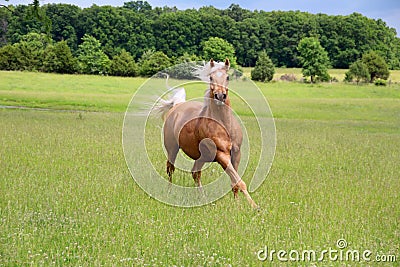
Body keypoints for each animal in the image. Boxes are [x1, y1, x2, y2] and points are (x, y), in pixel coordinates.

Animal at [155, 58, 258, 209]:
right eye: (211, 77)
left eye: (227, 77)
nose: (220, 96)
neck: (224, 124)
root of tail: (176, 106)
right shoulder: (221, 155)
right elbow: (239, 181)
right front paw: (255, 207)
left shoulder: (236, 153)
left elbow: (235, 182)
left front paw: (238, 204)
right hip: (172, 148)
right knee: (170, 169)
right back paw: (169, 192)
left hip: (202, 157)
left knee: (195, 173)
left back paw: (202, 197)